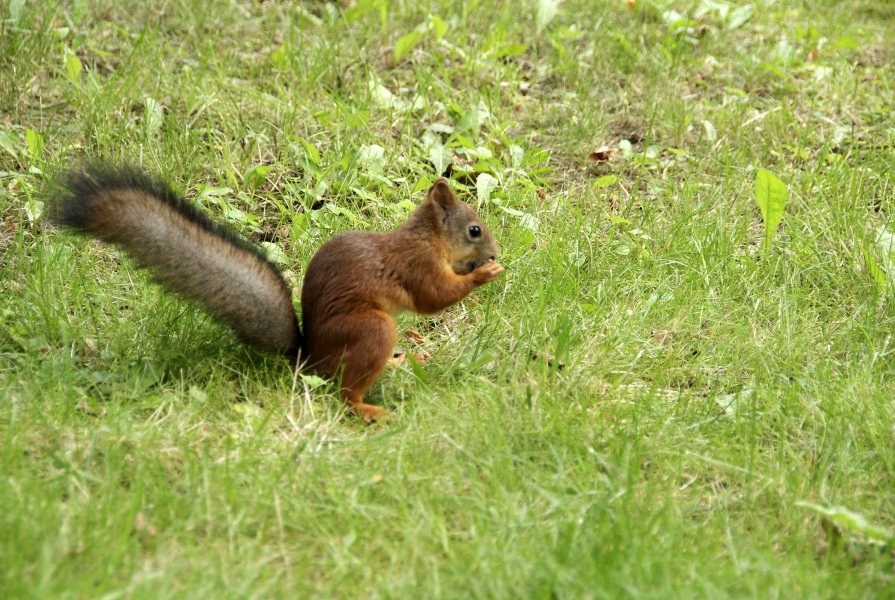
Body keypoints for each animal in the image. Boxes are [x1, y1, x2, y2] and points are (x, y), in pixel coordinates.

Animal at [52, 162, 504, 420]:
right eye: (474, 230)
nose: (495, 253)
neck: (429, 239)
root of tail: (308, 359)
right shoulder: (417, 265)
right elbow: (433, 299)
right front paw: (485, 274)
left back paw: (401, 362)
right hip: (372, 328)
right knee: (343, 392)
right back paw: (368, 408)